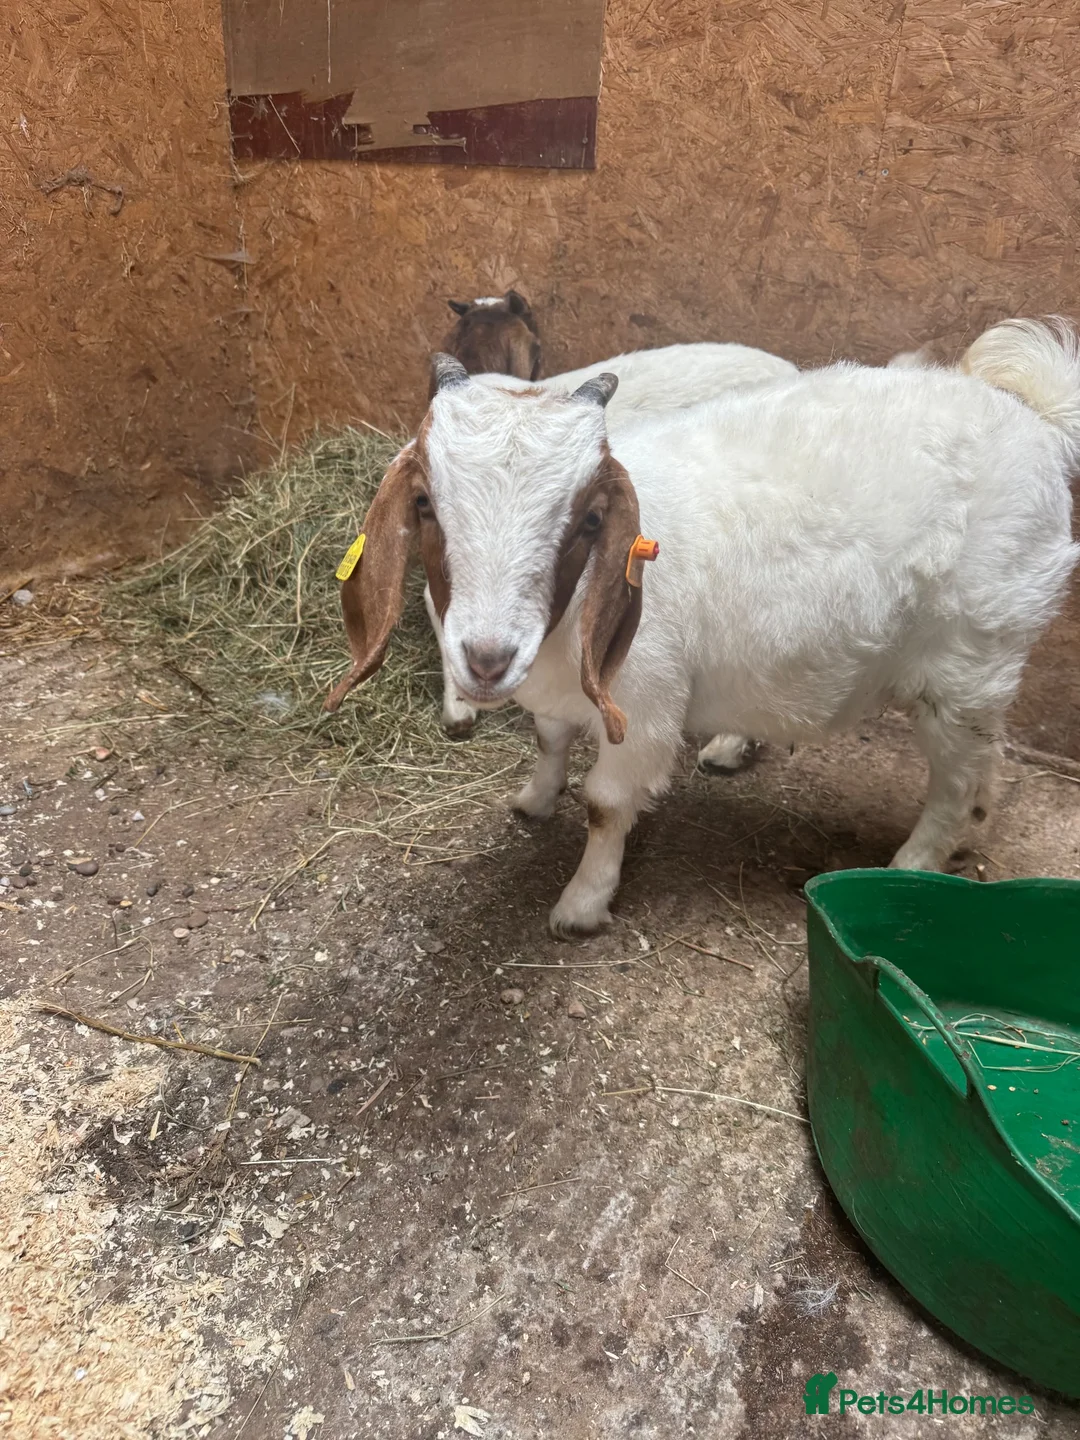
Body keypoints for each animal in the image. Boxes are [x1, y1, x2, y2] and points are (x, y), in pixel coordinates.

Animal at [327, 318, 1079, 937]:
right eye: (426, 504)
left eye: (589, 519)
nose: (486, 659)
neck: (571, 614)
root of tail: (1032, 416)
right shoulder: (560, 692)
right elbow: (549, 740)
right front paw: (535, 799)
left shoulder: (643, 707)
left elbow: (605, 805)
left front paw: (581, 904)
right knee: (982, 761)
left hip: (971, 661)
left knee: (954, 778)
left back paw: (914, 861)